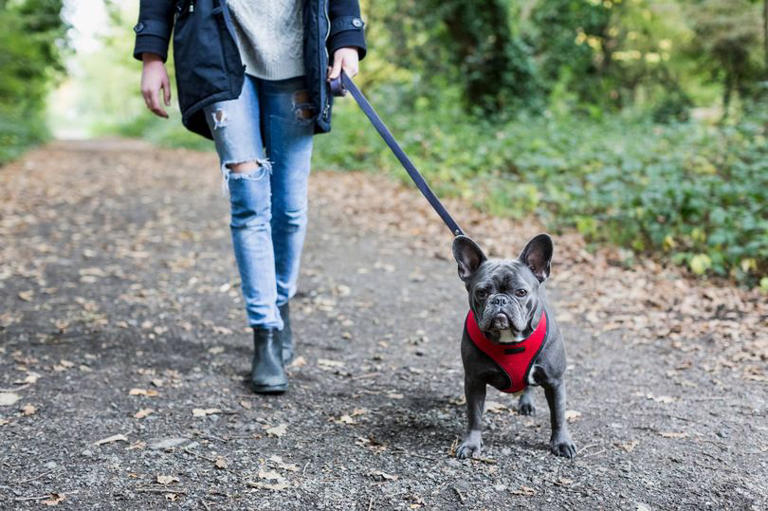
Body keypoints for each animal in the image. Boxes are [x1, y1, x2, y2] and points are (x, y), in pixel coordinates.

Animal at [450, 234, 576, 458]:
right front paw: (471, 444)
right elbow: (475, 416)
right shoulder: (474, 381)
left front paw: (561, 442)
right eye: (482, 292)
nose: (500, 300)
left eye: (521, 292)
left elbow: (558, 415)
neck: (509, 339)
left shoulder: (555, 381)